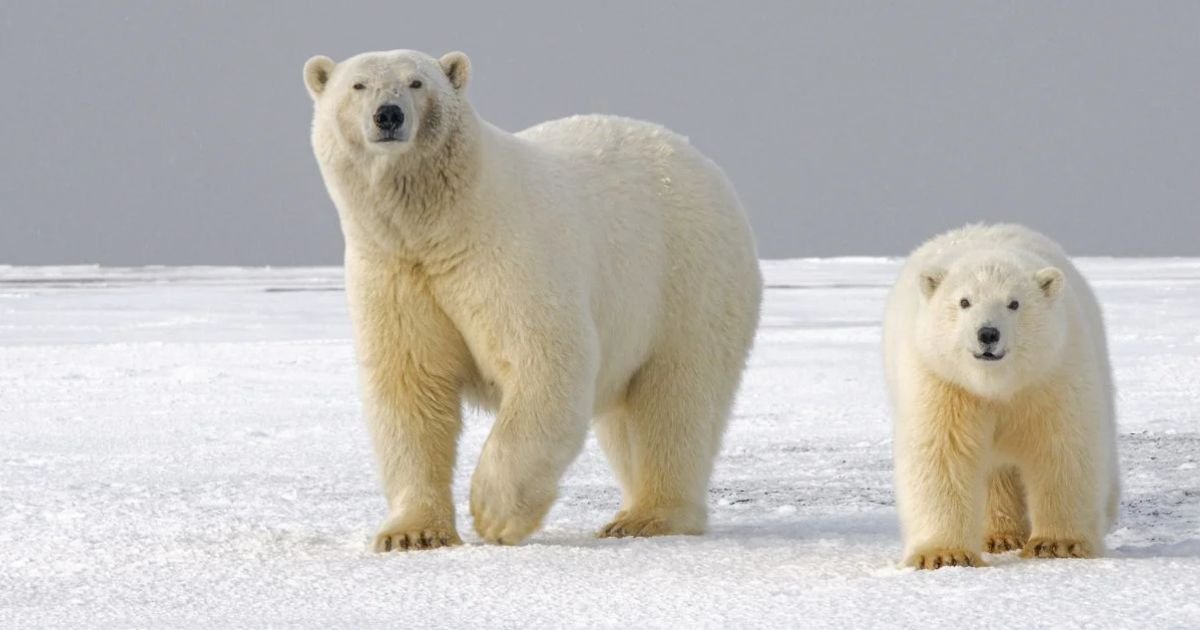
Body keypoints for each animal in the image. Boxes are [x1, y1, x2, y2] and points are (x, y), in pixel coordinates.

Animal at [302, 49, 763, 551]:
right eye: (358, 85)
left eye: (416, 82)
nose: (389, 115)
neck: (440, 224)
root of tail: (702, 161)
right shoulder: (394, 272)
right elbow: (410, 386)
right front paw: (411, 534)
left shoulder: (506, 254)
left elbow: (545, 360)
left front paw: (494, 513)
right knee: (628, 419)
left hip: (687, 280)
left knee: (675, 400)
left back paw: (649, 517)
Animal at [882, 223, 1120, 569]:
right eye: (964, 301)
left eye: (1014, 303)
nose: (988, 333)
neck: (997, 385)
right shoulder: (943, 382)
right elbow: (942, 454)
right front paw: (944, 554)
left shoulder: (1051, 374)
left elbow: (1063, 447)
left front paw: (1057, 544)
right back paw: (999, 536)